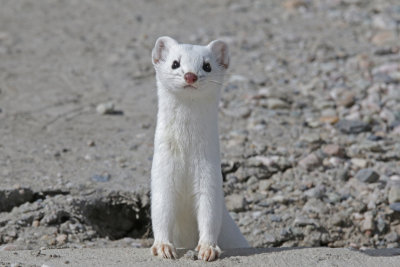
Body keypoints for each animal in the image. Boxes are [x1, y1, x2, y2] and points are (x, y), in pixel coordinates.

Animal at [150, 35, 250, 262]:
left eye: (207, 65)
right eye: (175, 63)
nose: (190, 76)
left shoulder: (210, 175)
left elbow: (210, 213)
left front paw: (208, 248)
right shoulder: (162, 173)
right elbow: (160, 211)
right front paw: (163, 247)